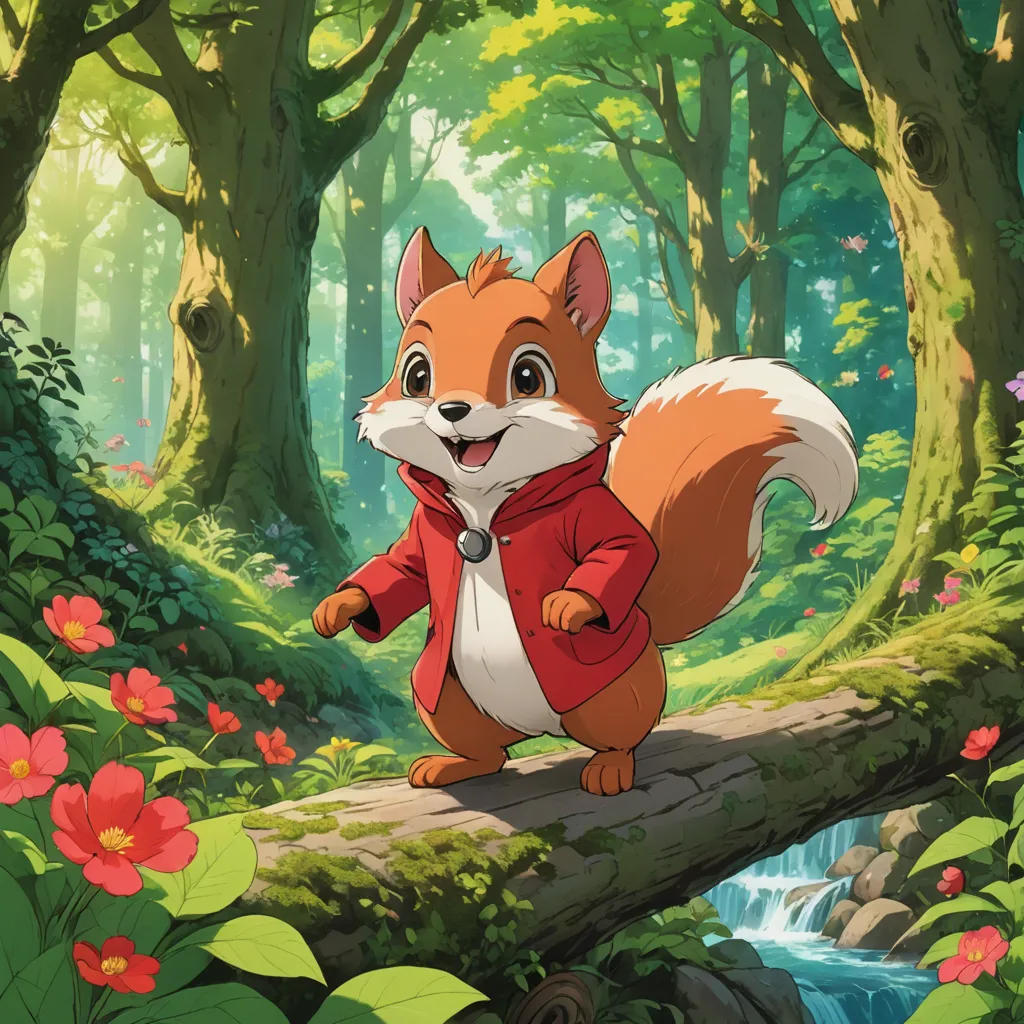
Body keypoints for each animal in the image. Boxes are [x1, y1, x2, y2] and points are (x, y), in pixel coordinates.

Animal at [312, 226, 859, 797]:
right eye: (417, 376)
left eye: (528, 376)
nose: (453, 409)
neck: (485, 504)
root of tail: (536, 728)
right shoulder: (426, 530)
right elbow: (402, 569)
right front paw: (340, 606)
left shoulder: (590, 513)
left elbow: (624, 547)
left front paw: (568, 604)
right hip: (445, 698)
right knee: (490, 752)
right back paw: (452, 765)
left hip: (611, 697)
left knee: (620, 734)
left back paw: (610, 768)